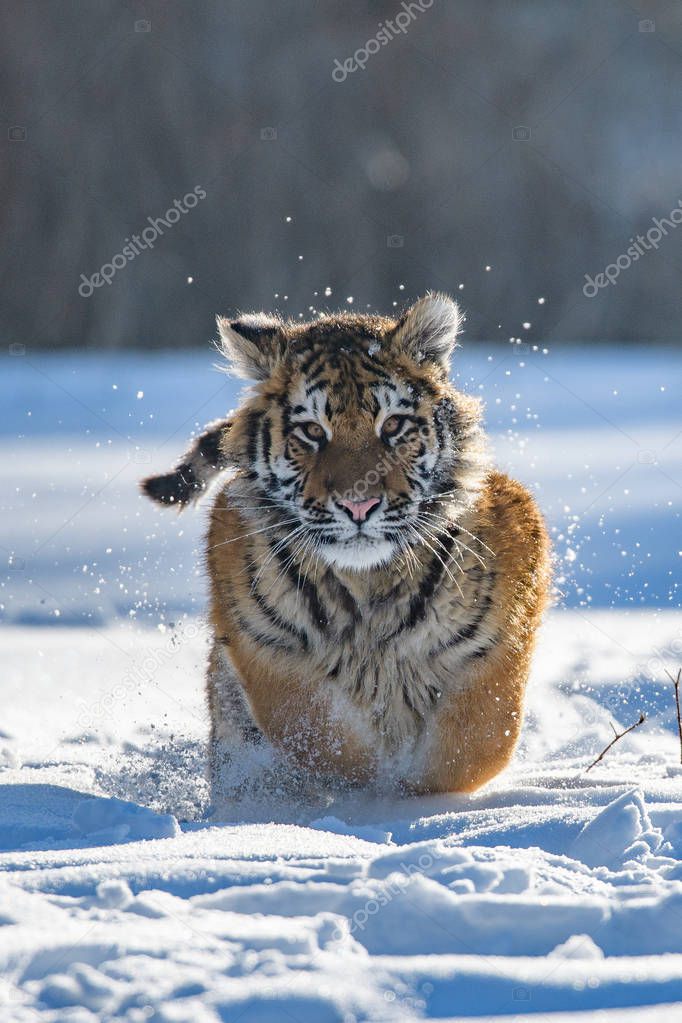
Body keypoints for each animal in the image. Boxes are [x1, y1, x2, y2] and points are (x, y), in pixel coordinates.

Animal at [141, 294, 552, 806]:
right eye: (313, 431)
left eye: (393, 425)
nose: (359, 504)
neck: (367, 581)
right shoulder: (264, 646)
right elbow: (320, 734)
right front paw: (366, 789)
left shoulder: (498, 636)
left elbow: (475, 742)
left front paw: (411, 795)